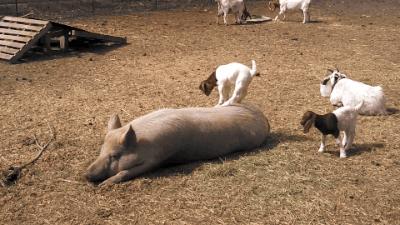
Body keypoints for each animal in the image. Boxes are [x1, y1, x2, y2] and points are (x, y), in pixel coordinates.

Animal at [85, 103, 270, 185]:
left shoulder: (156, 159)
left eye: (115, 155)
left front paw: (104, 185)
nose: (86, 175)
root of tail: (265, 119)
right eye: (101, 150)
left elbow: (126, 172)